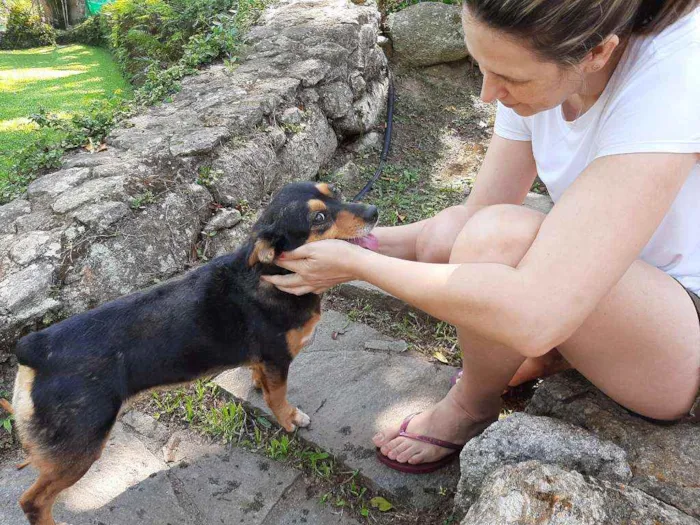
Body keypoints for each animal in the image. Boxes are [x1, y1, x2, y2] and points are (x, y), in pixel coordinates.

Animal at [0, 181, 380, 524]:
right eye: (319, 217)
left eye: (335, 193)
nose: (374, 212)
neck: (272, 273)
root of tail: (34, 347)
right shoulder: (277, 359)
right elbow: (279, 398)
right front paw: (289, 419)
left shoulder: (263, 360)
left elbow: (262, 381)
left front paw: (258, 387)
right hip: (81, 447)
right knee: (33, 502)